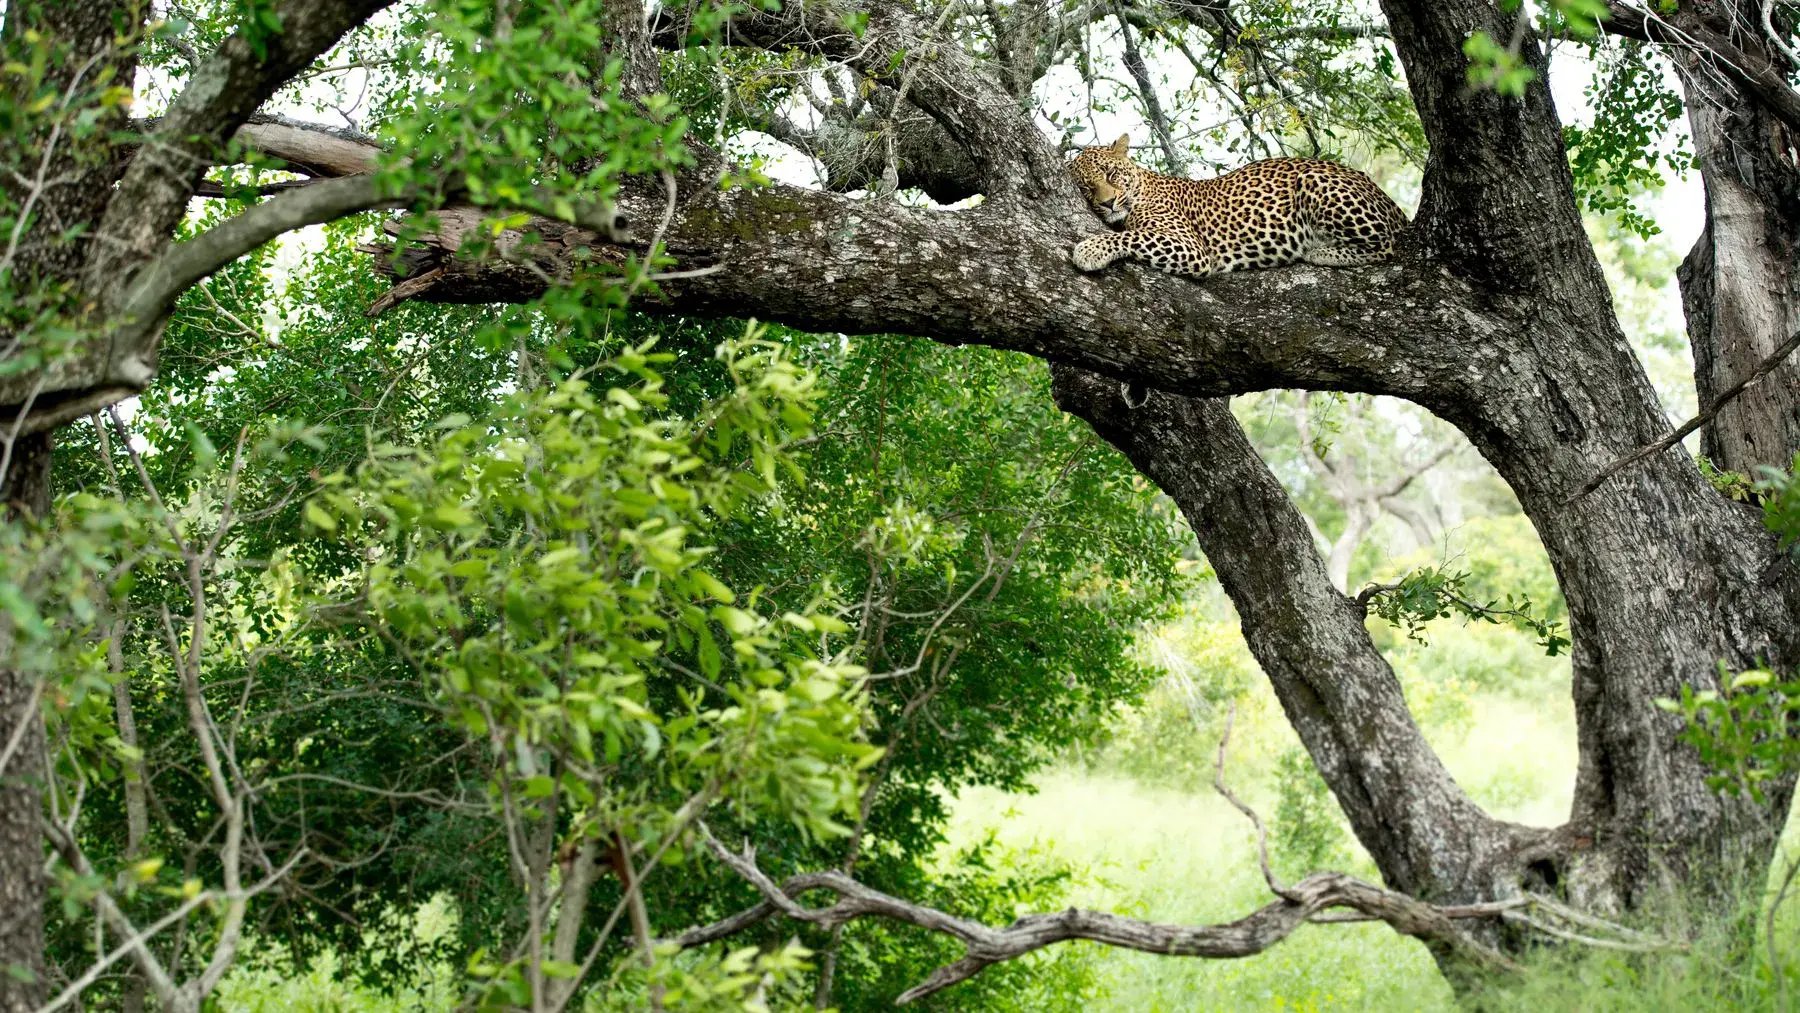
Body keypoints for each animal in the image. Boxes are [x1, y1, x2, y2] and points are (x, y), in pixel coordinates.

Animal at [1065, 134, 1404, 280]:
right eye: (1086, 188)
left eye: (1111, 174)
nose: (1108, 203)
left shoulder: (1192, 248)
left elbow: (1132, 236)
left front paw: (1090, 250)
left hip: (1315, 181)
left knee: (1387, 244)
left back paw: (1319, 251)